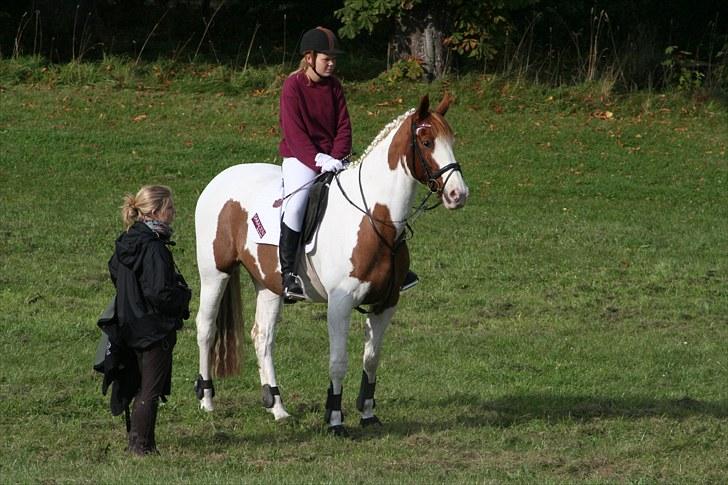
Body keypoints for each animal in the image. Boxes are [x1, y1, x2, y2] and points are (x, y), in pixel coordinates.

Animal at [193, 93, 470, 432]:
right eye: (427, 142)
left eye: (452, 140)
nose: (458, 194)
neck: (374, 217)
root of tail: (221, 178)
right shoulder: (340, 303)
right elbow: (338, 362)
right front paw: (335, 418)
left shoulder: (386, 303)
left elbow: (371, 359)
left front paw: (368, 413)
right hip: (214, 274)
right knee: (206, 328)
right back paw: (207, 399)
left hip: (269, 284)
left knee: (263, 337)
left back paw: (277, 406)